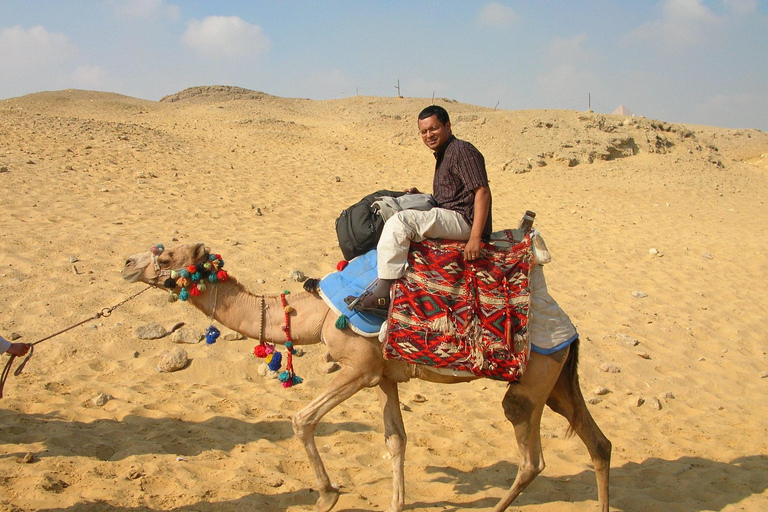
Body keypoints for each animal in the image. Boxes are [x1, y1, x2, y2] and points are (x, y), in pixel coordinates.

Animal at [121, 243, 612, 512]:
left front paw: (326, 494)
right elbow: (395, 440)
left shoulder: (357, 368)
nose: (126, 263)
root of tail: (570, 328)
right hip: (557, 379)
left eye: (165, 253)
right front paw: (396, 502)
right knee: (597, 442)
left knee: (532, 458)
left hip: (531, 383)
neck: (316, 313)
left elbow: (303, 420)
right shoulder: (384, 376)